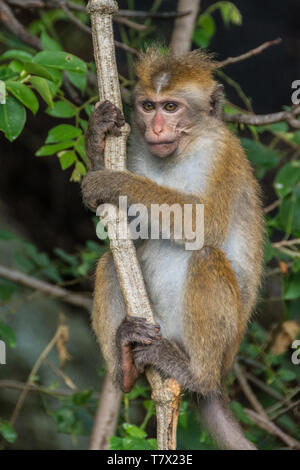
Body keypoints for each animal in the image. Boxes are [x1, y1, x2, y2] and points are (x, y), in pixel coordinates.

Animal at [81, 48, 264, 452]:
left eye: (171, 106)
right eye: (148, 106)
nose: (157, 129)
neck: (185, 147)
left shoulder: (221, 155)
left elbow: (203, 222)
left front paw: (112, 179)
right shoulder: (137, 151)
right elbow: (123, 228)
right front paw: (97, 140)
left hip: (222, 346)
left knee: (206, 256)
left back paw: (196, 375)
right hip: (155, 323)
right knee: (110, 262)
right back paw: (126, 366)